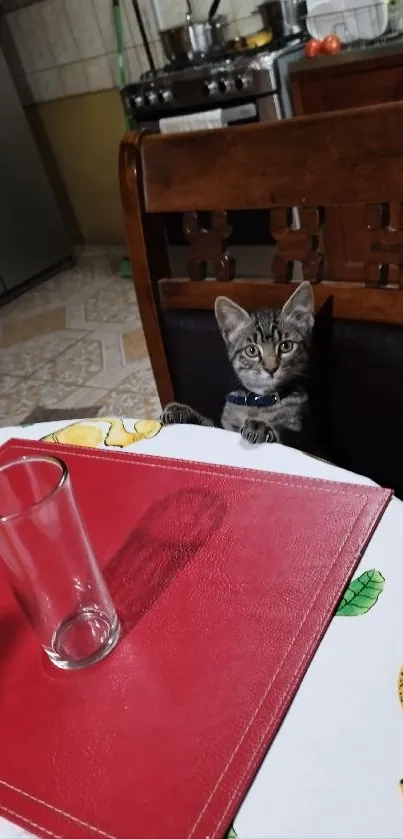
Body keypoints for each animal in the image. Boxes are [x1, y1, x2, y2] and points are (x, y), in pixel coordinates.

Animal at [161, 280, 316, 452]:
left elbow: (281, 441)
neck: (259, 400)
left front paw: (261, 427)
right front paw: (182, 411)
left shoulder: (301, 439)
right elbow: (210, 425)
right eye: (252, 350)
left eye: (286, 346)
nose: (271, 369)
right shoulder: (225, 427)